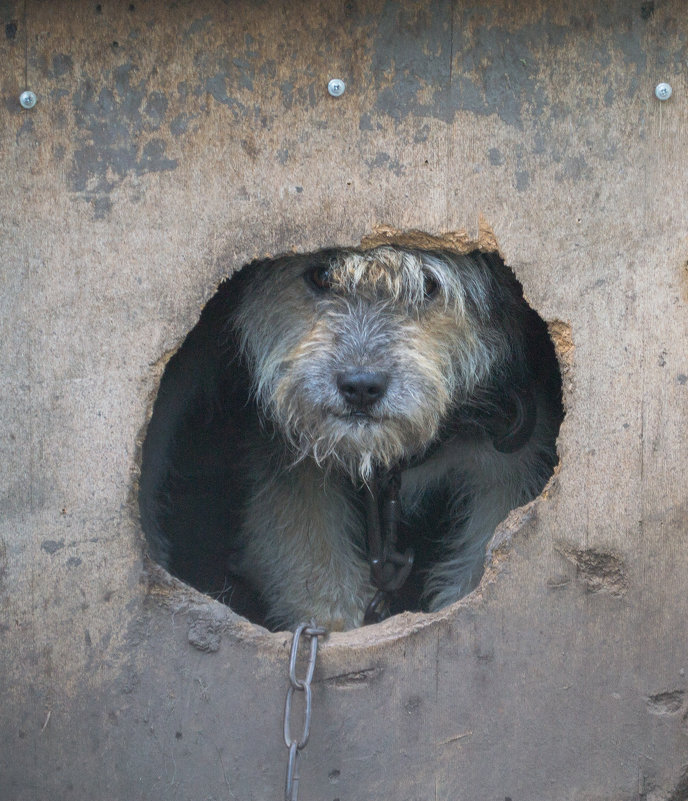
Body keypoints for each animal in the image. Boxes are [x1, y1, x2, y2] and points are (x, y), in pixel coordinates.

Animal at [138, 247, 560, 628]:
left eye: (428, 284)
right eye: (320, 276)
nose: (360, 386)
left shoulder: (510, 477)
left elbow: (480, 565)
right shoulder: (295, 487)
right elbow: (323, 594)